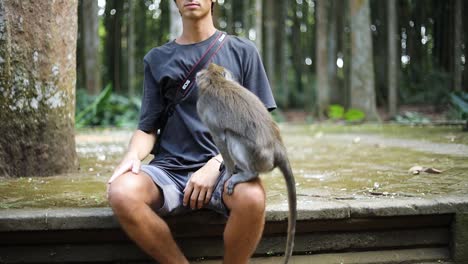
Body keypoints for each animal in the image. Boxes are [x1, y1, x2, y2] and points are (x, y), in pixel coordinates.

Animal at [196, 63, 298, 262]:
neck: (216, 81)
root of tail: (278, 146)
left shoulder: (204, 110)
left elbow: (220, 137)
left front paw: (227, 172)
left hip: (258, 157)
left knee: (230, 135)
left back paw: (246, 174)